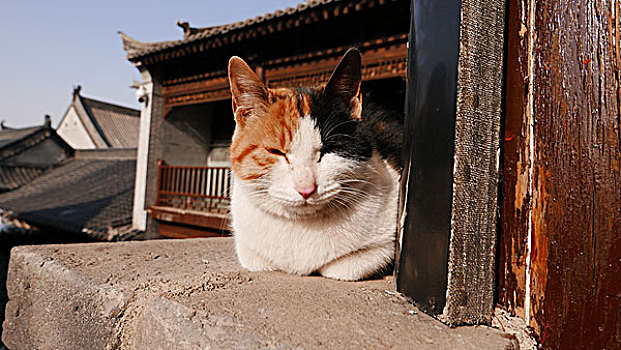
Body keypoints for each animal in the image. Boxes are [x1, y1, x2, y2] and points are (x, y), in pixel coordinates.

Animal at [228, 47, 402, 280]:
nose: (306, 189)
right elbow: (256, 260)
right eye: (276, 151)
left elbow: (343, 267)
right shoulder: (249, 251)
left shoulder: (383, 242)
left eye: (328, 149)